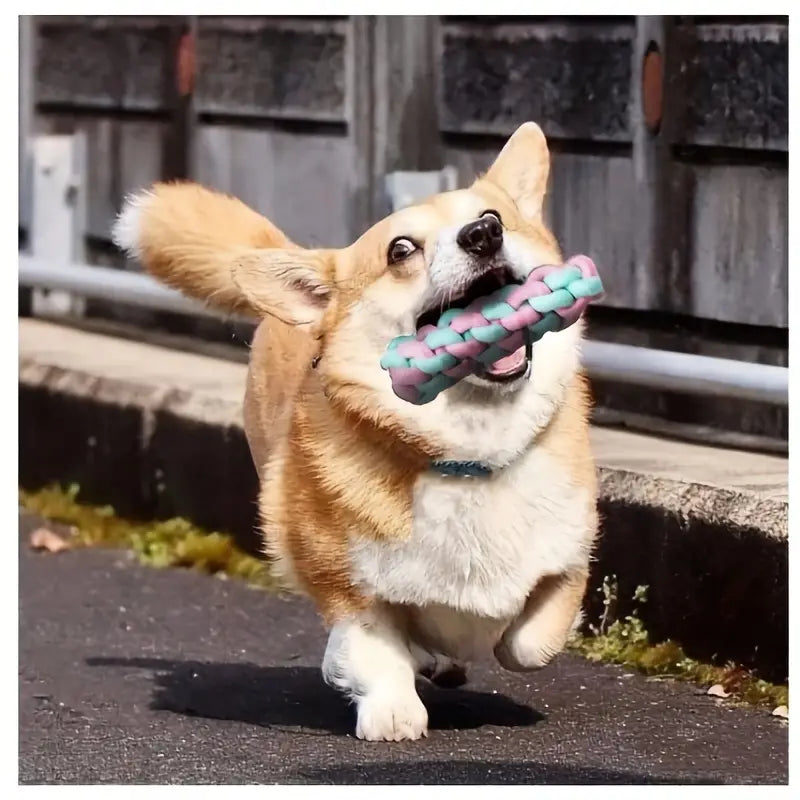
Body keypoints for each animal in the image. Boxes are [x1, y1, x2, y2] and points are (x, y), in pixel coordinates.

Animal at [114, 122, 600, 740]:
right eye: (401, 250)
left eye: (494, 216)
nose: (483, 235)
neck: (468, 450)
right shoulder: (347, 586)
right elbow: (375, 649)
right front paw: (391, 710)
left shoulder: (567, 560)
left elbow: (529, 642)